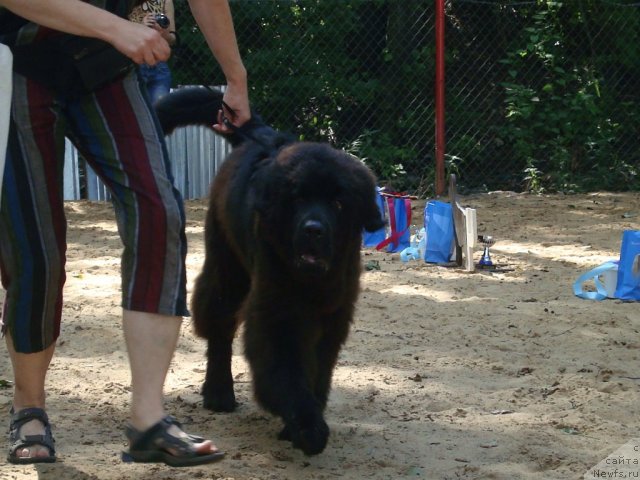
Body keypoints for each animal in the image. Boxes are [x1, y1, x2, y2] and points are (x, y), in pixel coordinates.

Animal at [155, 87, 384, 454]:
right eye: (298, 198)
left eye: (338, 203)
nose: (313, 229)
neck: (310, 282)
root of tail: (261, 135)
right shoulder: (276, 312)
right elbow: (285, 370)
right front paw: (306, 426)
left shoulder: (333, 313)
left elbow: (317, 369)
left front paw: (303, 422)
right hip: (227, 265)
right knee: (218, 324)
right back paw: (219, 393)